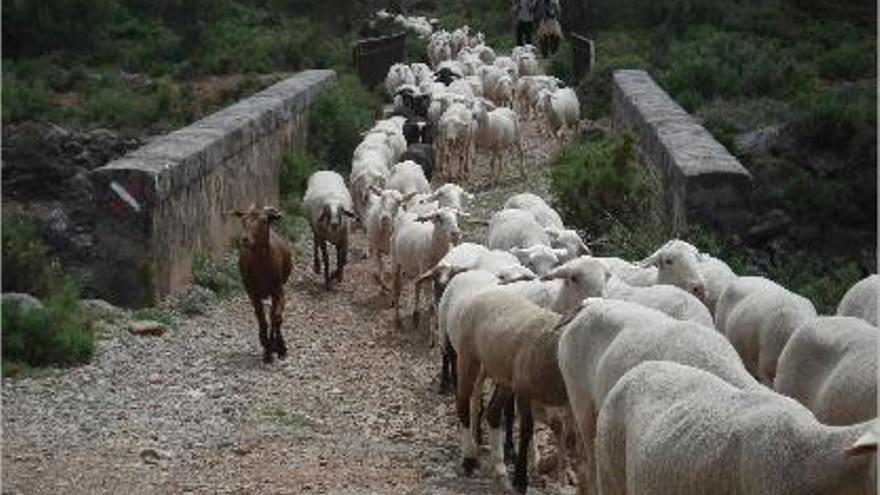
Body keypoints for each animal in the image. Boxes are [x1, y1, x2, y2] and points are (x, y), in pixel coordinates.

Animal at [230, 203, 292, 362]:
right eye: (243, 219)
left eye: (264, 221)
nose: (245, 239)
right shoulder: (253, 293)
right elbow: (261, 318)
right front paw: (267, 348)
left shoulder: (278, 290)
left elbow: (276, 318)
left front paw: (280, 347)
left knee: (273, 314)